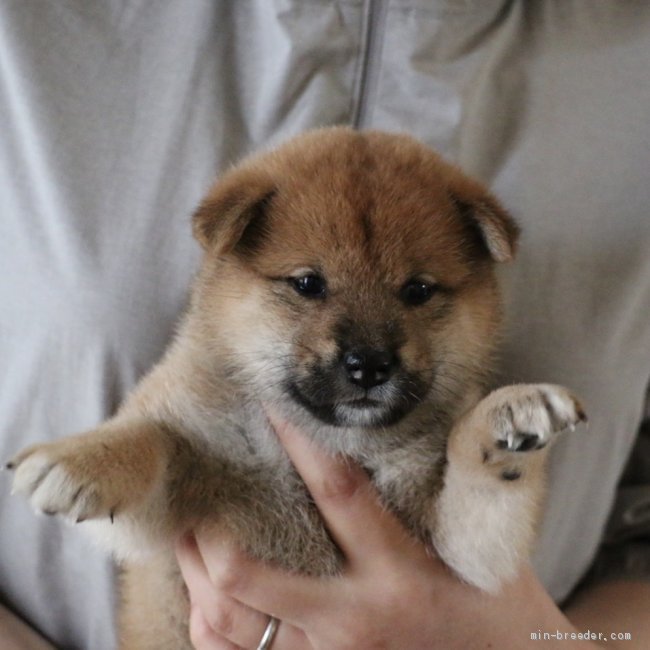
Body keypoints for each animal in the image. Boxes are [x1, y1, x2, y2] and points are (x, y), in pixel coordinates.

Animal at [6, 128, 584, 648]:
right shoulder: (174, 517)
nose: (369, 364)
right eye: (309, 283)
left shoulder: (456, 556)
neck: (340, 442)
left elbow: (474, 488)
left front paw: (510, 418)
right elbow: (154, 439)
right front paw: (83, 459)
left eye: (418, 290)